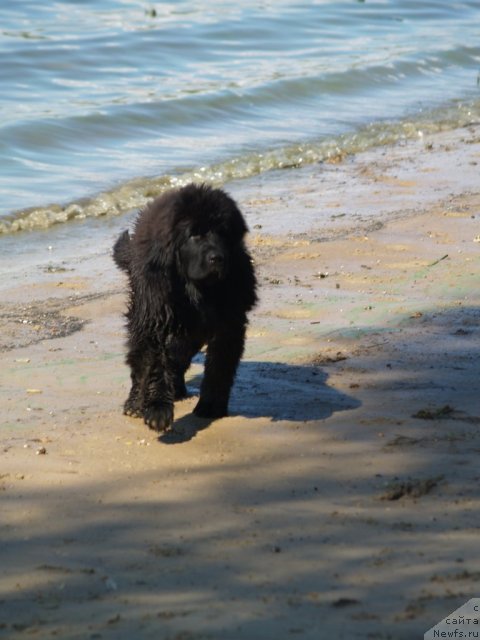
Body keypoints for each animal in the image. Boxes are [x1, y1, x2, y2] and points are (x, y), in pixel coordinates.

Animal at [113, 185, 256, 436]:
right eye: (193, 235)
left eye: (223, 233)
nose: (217, 258)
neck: (198, 290)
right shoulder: (155, 317)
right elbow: (155, 366)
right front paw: (158, 411)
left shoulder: (230, 322)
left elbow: (219, 366)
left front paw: (210, 406)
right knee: (141, 360)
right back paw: (134, 403)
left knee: (177, 357)